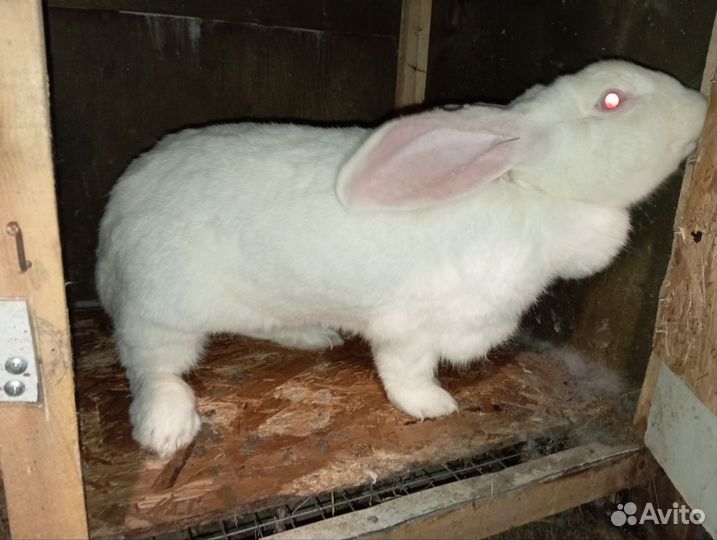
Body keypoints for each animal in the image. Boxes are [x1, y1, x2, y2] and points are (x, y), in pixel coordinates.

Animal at [96, 60, 706, 457]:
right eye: (612, 100)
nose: (702, 105)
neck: (526, 188)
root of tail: (112, 220)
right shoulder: (412, 326)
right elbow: (405, 370)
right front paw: (433, 405)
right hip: (162, 310)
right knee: (152, 365)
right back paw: (168, 427)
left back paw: (315, 336)